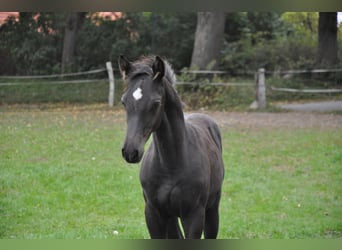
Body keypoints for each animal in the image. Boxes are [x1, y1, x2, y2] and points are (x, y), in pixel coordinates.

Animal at [118, 54, 224, 238]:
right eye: (124, 102)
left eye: (155, 103)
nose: (131, 151)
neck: (171, 165)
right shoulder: (153, 213)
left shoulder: (194, 215)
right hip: (172, 218)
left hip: (212, 209)